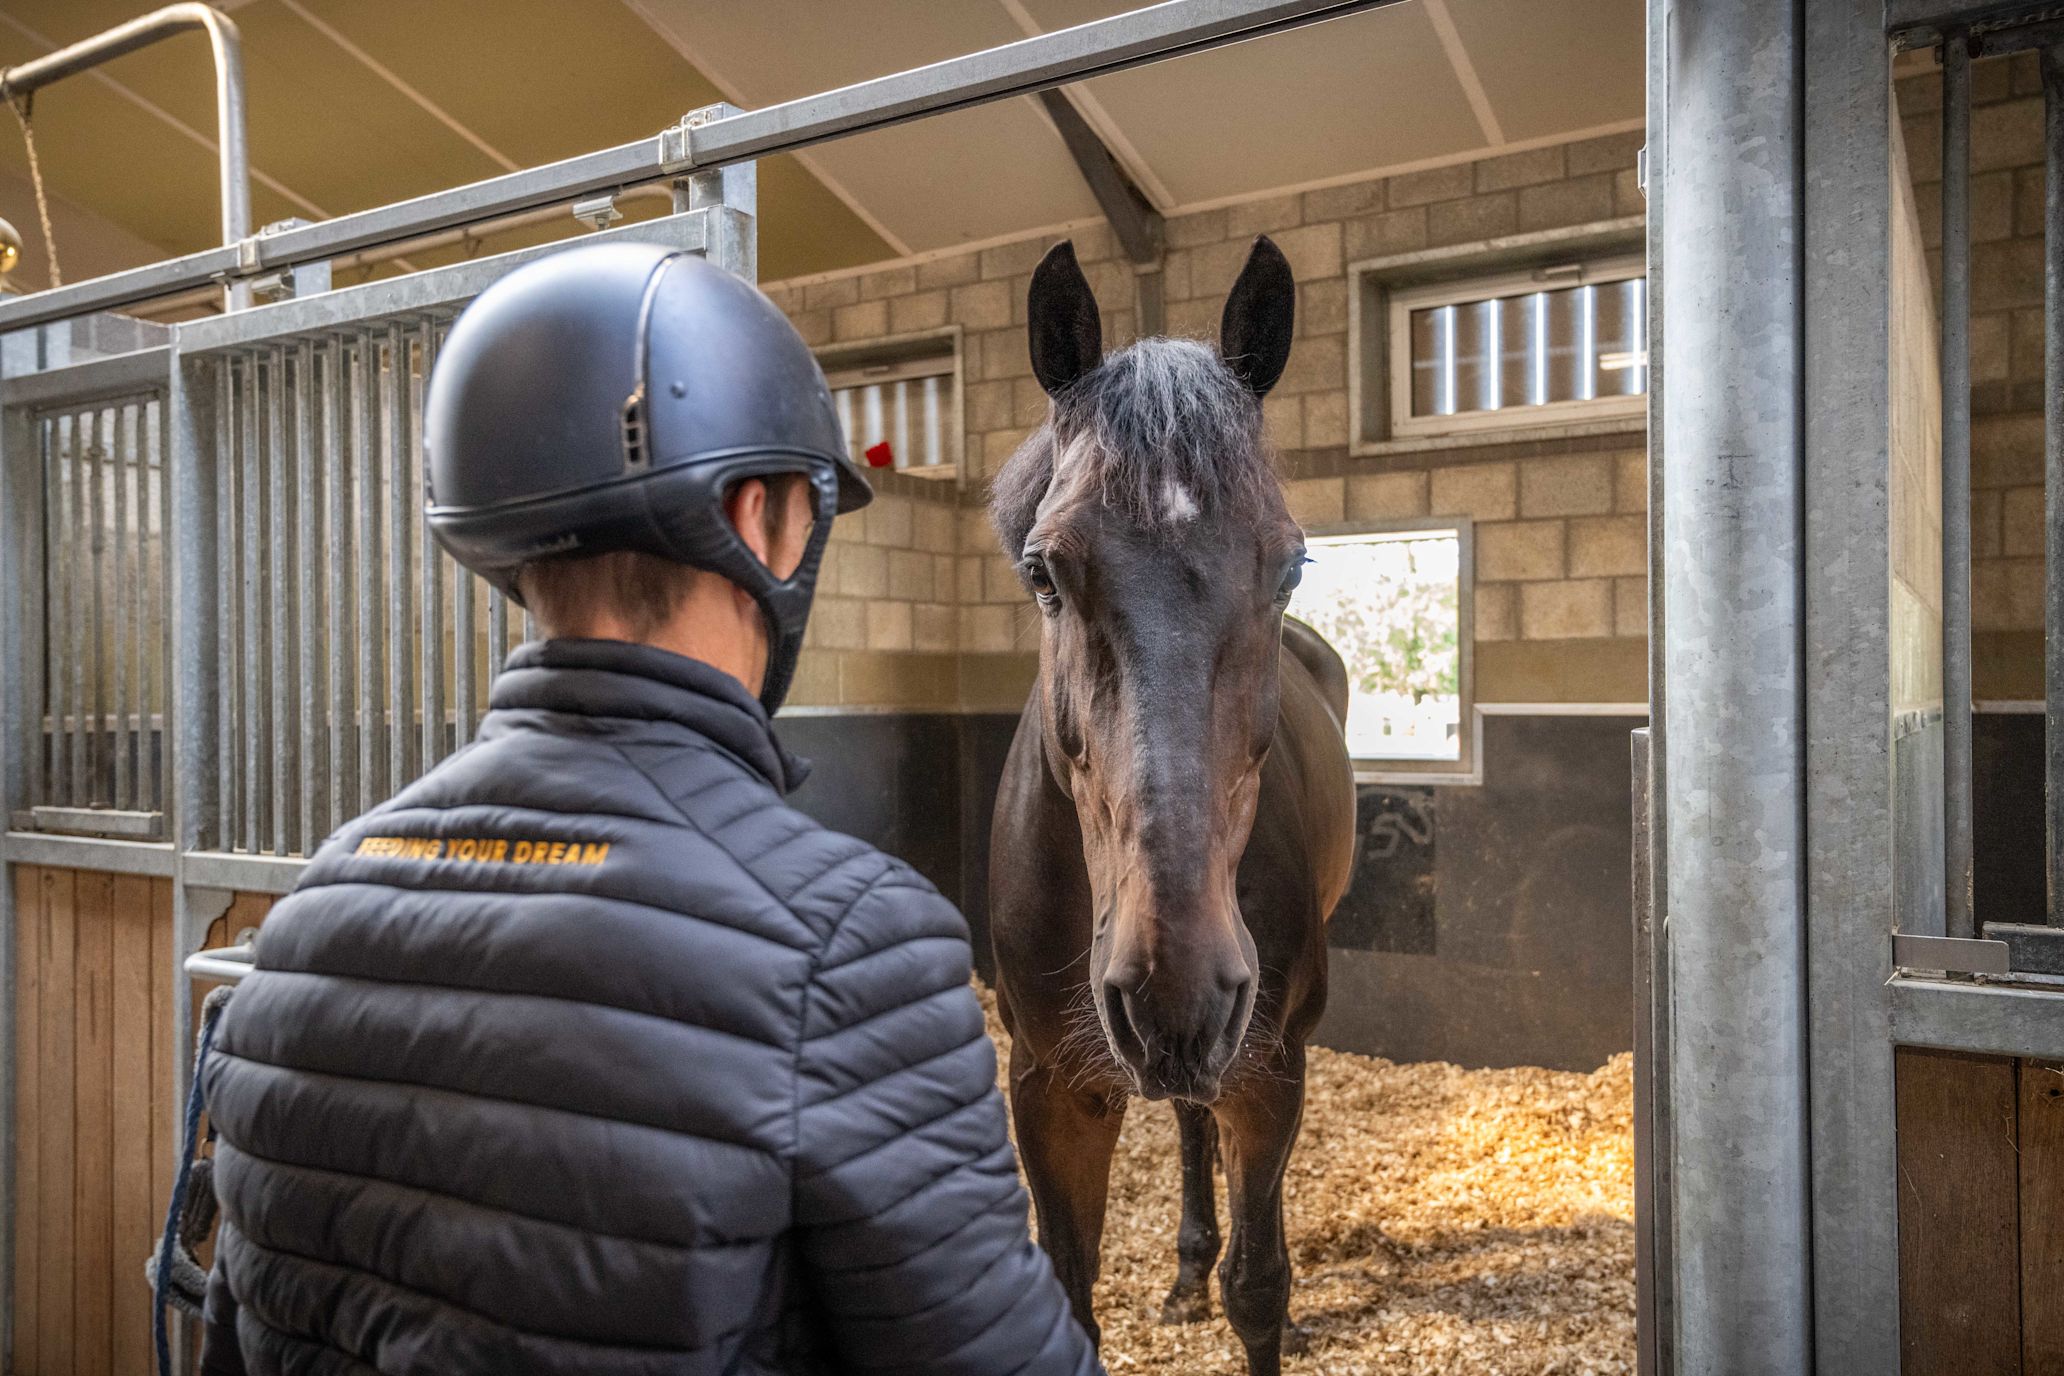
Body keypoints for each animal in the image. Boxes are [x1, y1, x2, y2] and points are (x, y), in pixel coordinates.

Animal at [987, 235, 1358, 1376]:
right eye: (1044, 572)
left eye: (1290, 566)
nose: (1175, 981)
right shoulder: (1051, 1088)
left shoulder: (1270, 1069)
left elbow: (1262, 1285)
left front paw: (1252, 1285)